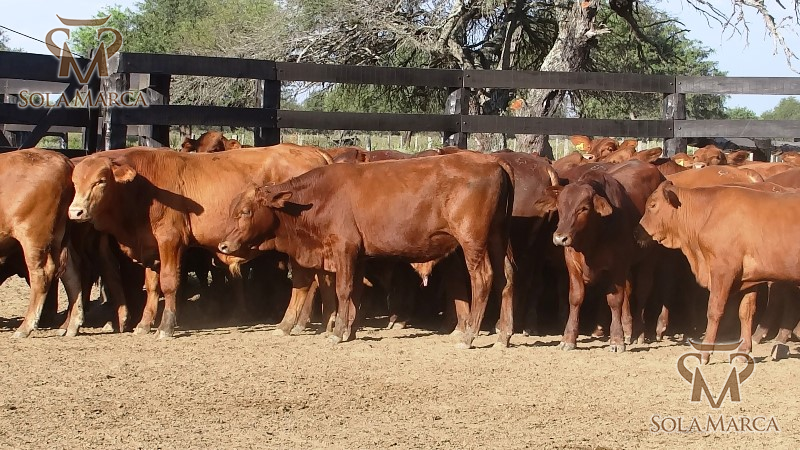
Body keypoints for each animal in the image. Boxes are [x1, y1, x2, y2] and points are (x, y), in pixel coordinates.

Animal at [0, 149, 83, 338]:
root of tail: (64, 161)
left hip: (33, 235)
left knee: (42, 274)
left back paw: (25, 327)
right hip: (59, 236)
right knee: (72, 274)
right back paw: (72, 325)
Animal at [68, 145, 332, 338]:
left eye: (101, 181)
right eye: (75, 182)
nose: (75, 212)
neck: (143, 187)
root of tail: (314, 152)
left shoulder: (170, 240)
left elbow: (169, 283)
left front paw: (166, 326)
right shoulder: (149, 246)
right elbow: (152, 286)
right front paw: (143, 324)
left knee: (307, 281)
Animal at [218, 152, 515, 349]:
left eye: (246, 211)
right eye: (233, 209)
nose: (223, 245)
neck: (318, 198)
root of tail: (492, 161)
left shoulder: (344, 249)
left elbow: (343, 290)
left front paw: (337, 332)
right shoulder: (358, 255)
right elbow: (356, 293)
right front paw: (349, 330)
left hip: (473, 241)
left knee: (483, 279)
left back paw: (469, 335)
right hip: (498, 237)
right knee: (506, 279)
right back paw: (504, 335)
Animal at [547, 160, 665, 352]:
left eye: (584, 208)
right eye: (560, 206)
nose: (560, 238)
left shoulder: (618, 266)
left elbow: (615, 300)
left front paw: (616, 339)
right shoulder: (572, 263)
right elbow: (576, 298)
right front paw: (568, 338)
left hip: (649, 257)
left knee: (642, 291)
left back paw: (638, 332)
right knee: (629, 291)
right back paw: (628, 329)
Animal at [638, 181, 800, 363]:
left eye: (652, 205)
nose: (637, 232)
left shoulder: (722, 271)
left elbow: (714, 311)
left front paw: (705, 352)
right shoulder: (750, 279)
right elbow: (746, 312)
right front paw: (743, 352)